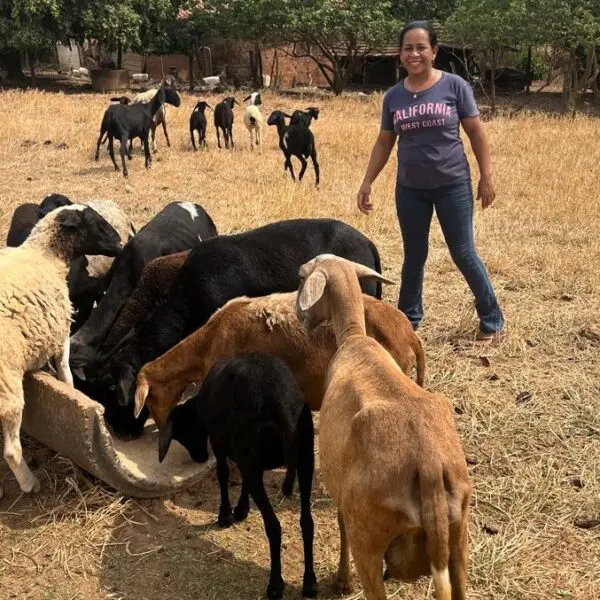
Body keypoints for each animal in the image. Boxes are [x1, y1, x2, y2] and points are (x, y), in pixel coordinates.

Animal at [0, 206, 122, 496]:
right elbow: (66, 371)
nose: (121, 244)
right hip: (7, 386)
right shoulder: (62, 331)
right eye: (96, 223)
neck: (45, 256)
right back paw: (29, 483)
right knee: (11, 450)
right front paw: (71, 390)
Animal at [159, 354, 318, 600]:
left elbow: (223, 474)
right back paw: (310, 583)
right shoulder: (248, 459)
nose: (200, 457)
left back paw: (275, 585)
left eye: (184, 433)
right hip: (305, 458)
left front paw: (225, 515)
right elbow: (243, 482)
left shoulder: (220, 443)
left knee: (274, 526)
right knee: (307, 522)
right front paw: (242, 509)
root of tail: (280, 406)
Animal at [296, 254, 474, 600]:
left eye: (301, 278)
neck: (354, 338)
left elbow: (340, 524)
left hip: (370, 538)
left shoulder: (342, 492)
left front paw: (342, 581)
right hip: (458, 541)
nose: (300, 317)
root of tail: (428, 465)